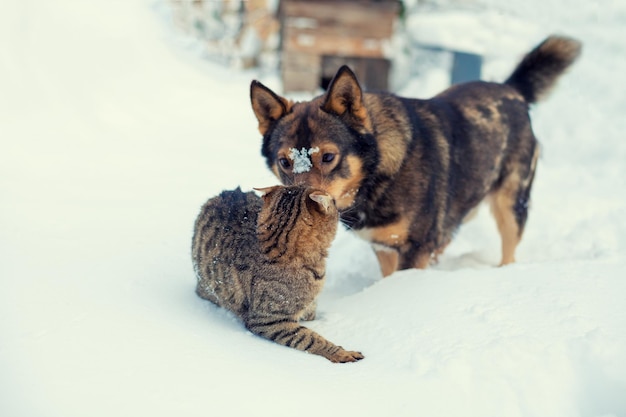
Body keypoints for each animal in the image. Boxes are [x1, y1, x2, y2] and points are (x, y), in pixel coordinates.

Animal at [249, 35, 580, 276]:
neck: (377, 174)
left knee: (509, 245)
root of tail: (511, 89)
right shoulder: (385, 247)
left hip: (511, 202)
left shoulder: (415, 247)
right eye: (284, 162)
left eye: (328, 157)